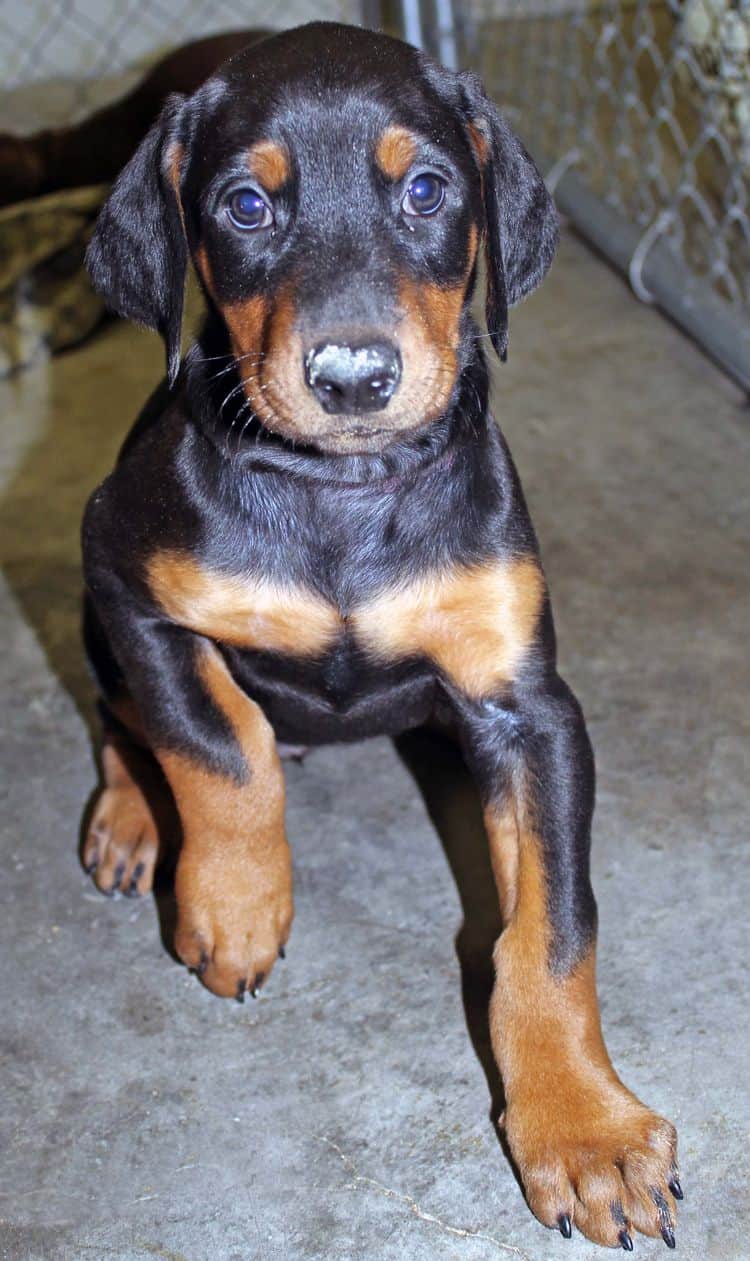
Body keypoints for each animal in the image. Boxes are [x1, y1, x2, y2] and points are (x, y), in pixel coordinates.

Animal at [80, 22, 680, 1250]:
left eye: (427, 190)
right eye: (246, 206)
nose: (352, 377)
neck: (345, 495)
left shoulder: (530, 706)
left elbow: (550, 933)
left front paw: (585, 1132)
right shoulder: (123, 575)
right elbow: (218, 743)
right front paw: (234, 905)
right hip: (90, 622)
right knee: (123, 714)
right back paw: (130, 820)